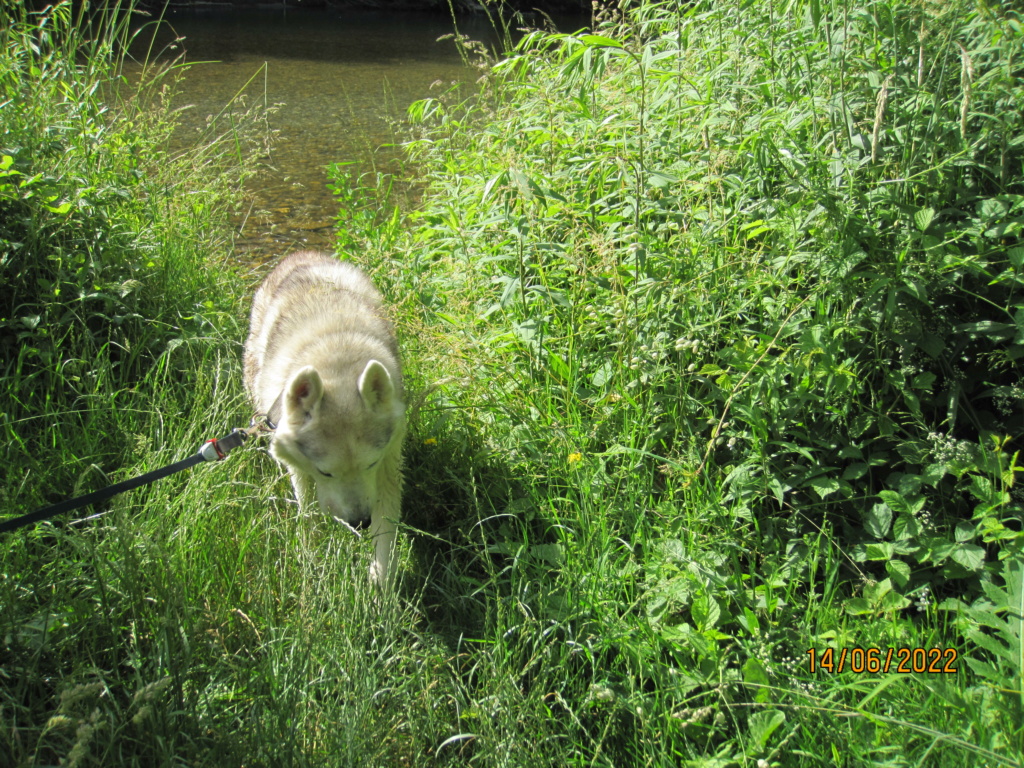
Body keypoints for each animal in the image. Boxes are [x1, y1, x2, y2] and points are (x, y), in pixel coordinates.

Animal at [245, 252, 405, 581]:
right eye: (326, 472)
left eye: (370, 464)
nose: (359, 522)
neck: (338, 361)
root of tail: (300, 254)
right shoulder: (301, 468)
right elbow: (308, 510)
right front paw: (311, 557)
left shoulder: (387, 464)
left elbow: (386, 532)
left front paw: (382, 586)